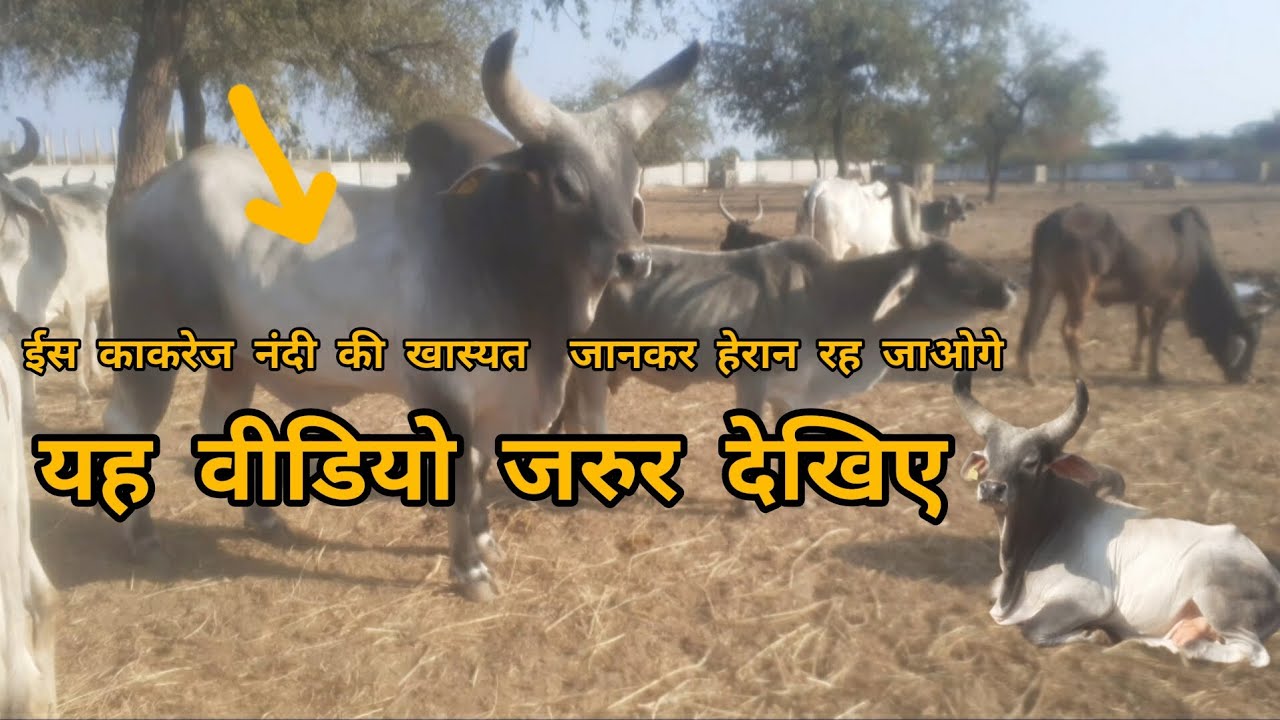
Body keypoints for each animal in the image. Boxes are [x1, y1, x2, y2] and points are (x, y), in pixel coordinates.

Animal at [0, 118, 112, 423]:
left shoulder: (73, 301)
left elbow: (77, 342)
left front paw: (82, 400)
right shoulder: (14, 318)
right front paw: (29, 410)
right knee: (91, 330)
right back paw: (96, 374)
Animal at [101, 30, 701, 602]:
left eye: (632, 178)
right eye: (566, 183)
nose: (634, 259)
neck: (492, 257)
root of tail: (144, 194)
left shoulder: (496, 403)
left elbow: (480, 474)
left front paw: (486, 542)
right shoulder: (445, 396)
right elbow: (461, 480)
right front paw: (470, 571)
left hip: (232, 357)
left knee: (218, 422)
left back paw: (265, 521)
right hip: (149, 344)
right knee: (127, 425)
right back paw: (145, 542)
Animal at [552, 235, 1018, 517]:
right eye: (952, 260)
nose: (1012, 287)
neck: (825, 296)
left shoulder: (790, 390)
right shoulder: (752, 381)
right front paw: (744, 508)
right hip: (592, 368)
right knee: (590, 417)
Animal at [952, 371, 1280, 666]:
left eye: (1031, 461)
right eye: (988, 457)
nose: (992, 489)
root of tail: (1270, 572)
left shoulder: (1087, 599)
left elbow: (1032, 629)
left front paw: (1094, 635)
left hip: (1213, 590)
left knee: (1252, 653)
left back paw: (1187, 649)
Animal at [1015, 203, 1272, 385]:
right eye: (1246, 342)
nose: (1245, 378)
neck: (1196, 251)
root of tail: (1051, 222)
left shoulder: (1143, 296)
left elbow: (1143, 328)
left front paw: (1136, 363)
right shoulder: (1170, 296)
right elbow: (1156, 334)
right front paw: (1155, 373)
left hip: (1044, 285)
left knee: (1031, 325)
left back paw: (1028, 374)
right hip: (1081, 289)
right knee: (1070, 330)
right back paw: (1082, 375)